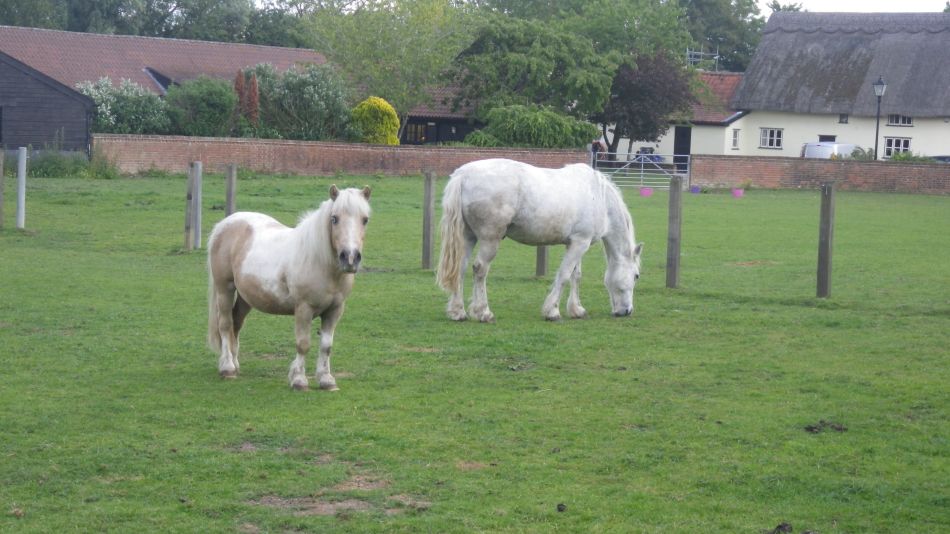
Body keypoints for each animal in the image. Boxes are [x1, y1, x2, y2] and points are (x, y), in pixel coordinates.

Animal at [207, 185, 371, 391]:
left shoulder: (335, 310)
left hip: (246, 297)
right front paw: (299, 380)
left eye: (365, 219)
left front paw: (327, 380)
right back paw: (227, 368)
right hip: (225, 289)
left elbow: (326, 346)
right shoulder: (304, 308)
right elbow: (303, 344)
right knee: (225, 324)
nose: (350, 258)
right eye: (335, 218)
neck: (319, 262)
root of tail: (225, 224)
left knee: (235, 324)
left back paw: (235, 365)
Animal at [436, 159, 642, 322]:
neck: (599, 197)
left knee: (460, 269)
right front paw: (552, 311)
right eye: (636, 276)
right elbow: (564, 275)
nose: (626, 311)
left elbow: (576, 276)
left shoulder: (576, 243)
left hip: (468, 237)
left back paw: (458, 312)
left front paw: (576, 310)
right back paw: (483, 312)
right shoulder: (580, 243)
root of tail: (463, 175)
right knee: (480, 269)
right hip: (490, 240)